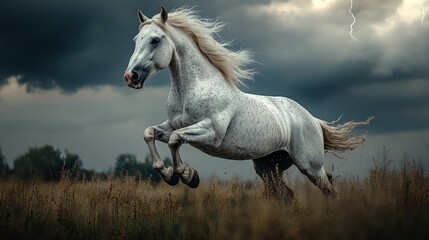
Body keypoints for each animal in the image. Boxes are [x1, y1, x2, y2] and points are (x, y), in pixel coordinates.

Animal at [123, 7, 372, 199]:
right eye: (136, 40)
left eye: (155, 40)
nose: (130, 76)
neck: (195, 88)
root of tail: (312, 119)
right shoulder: (172, 125)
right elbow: (150, 133)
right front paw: (169, 174)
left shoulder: (211, 132)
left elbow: (175, 140)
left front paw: (187, 176)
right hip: (268, 168)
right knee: (286, 195)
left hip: (310, 166)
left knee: (329, 189)